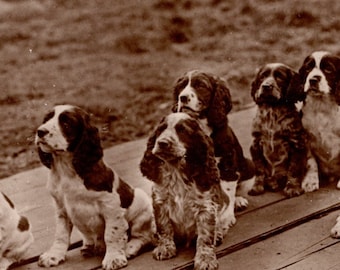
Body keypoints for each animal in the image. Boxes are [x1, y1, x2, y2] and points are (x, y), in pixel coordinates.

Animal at [35, 105, 155, 270]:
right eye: (46, 119)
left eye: (66, 123)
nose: (40, 131)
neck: (65, 169)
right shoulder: (61, 209)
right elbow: (61, 235)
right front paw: (53, 255)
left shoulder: (110, 207)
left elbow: (111, 234)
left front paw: (114, 258)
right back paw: (89, 246)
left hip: (142, 207)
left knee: (143, 236)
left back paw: (129, 248)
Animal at [139, 112, 232, 270]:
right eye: (161, 129)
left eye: (182, 131)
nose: (162, 143)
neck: (176, 170)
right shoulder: (160, 202)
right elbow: (164, 227)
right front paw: (165, 247)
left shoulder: (206, 207)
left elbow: (205, 236)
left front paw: (205, 258)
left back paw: (218, 234)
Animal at [174, 69, 254, 217]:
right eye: (181, 86)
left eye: (200, 85)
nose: (182, 98)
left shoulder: (226, 162)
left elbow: (228, 190)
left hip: (249, 166)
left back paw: (238, 201)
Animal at [248, 63, 310, 197]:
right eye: (262, 76)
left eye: (280, 77)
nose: (266, 86)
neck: (273, 110)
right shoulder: (255, 144)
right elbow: (259, 169)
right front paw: (257, 186)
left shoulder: (297, 144)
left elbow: (294, 168)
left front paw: (292, 188)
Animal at [288, 51, 340, 191]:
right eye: (308, 68)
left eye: (328, 69)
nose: (313, 79)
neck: (321, 105)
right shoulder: (305, 138)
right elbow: (311, 162)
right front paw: (310, 181)